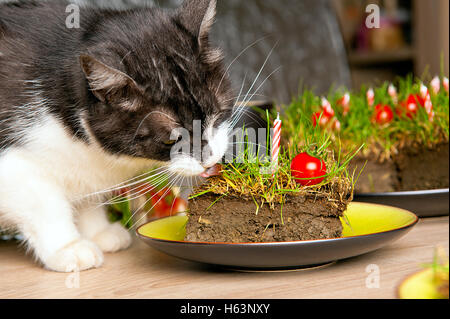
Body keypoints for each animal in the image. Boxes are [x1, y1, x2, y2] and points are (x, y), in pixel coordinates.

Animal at [0, 0, 232, 272]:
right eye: (170, 139)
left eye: (218, 116)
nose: (209, 159)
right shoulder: (13, 166)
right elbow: (44, 204)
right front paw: (68, 248)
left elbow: (86, 190)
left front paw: (98, 230)